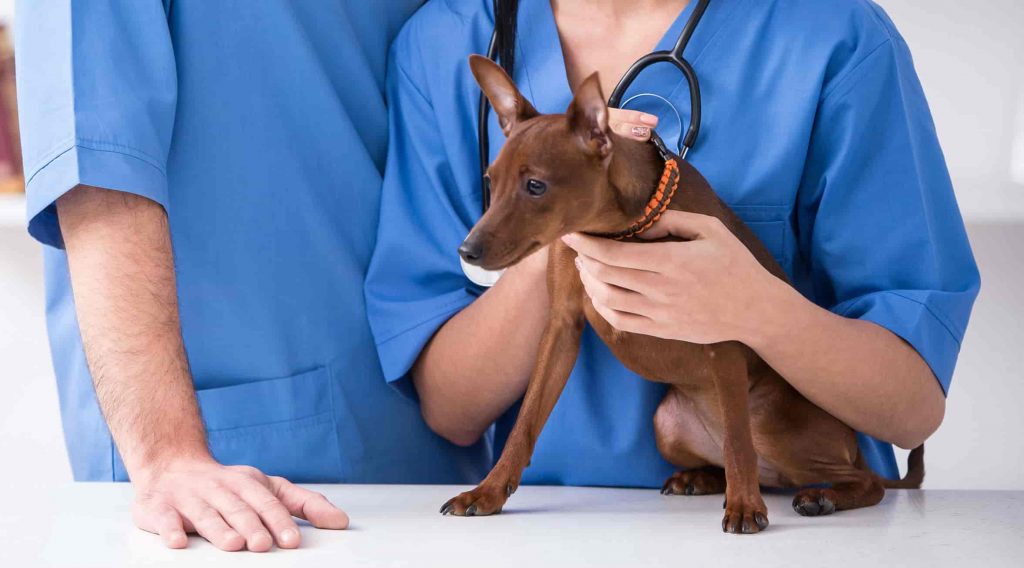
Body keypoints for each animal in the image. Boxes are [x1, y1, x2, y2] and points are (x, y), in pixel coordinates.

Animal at [444, 55, 925, 536]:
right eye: (491, 182)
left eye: (536, 187)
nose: (466, 250)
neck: (620, 229)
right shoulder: (562, 326)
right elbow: (525, 422)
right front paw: (488, 492)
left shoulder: (721, 335)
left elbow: (737, 442)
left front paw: (745, 506)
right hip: (667, 425)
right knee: (742, 461)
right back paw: (700, 478)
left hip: (772, 422)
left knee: (852, 477)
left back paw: (819, 496)